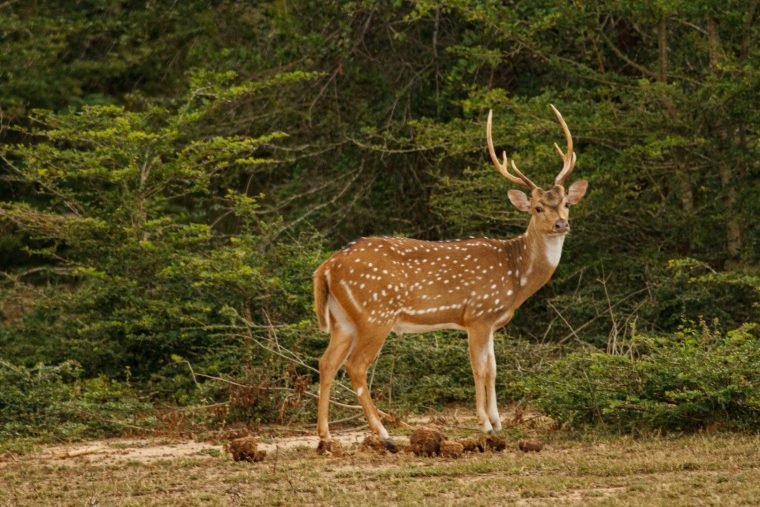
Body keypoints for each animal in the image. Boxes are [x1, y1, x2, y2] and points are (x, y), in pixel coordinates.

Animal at [313, 105, 588, 452]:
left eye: (565, 203)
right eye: (538, 208)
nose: (561, 224)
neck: (516, 275)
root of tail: (326, 267)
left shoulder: (492, 321)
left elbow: (494, 368)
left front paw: (498, 422)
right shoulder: (478, 315)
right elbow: (480, 368)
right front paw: (486, 425)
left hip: (342, 319)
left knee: (326, 363)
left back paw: (325, 437)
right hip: (376, 313)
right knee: (356, 366)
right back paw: (385, 435)